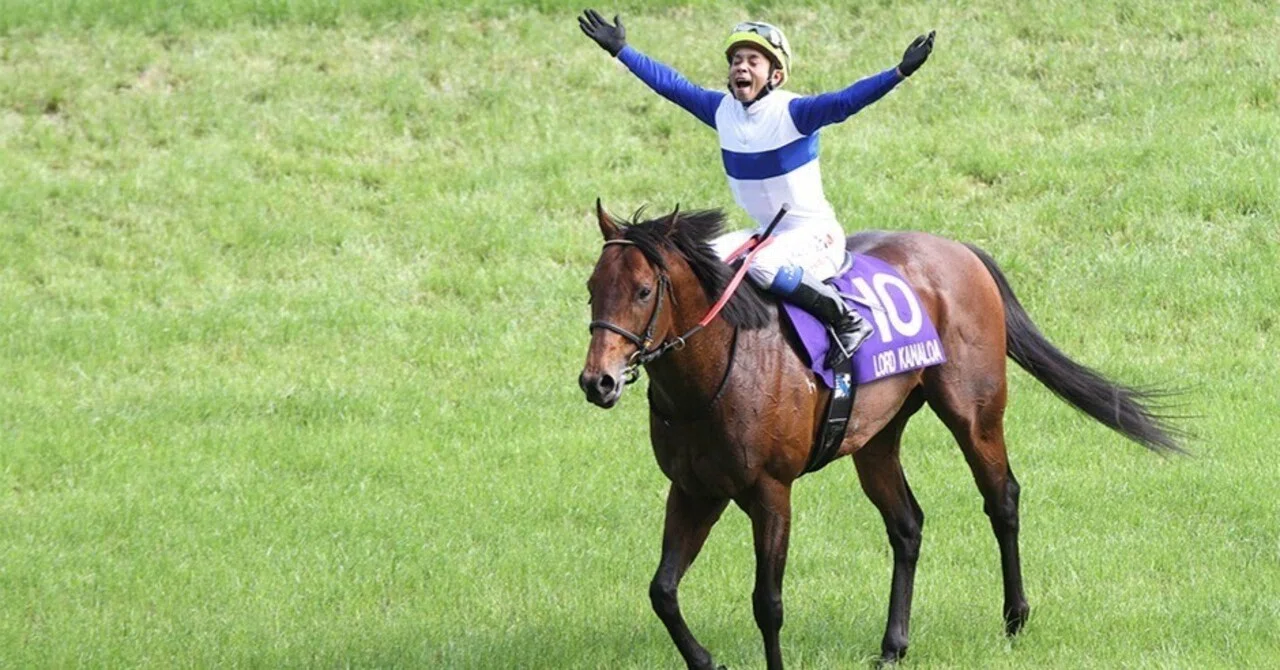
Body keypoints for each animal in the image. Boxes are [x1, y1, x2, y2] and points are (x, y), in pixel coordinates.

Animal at [577, 201, 1184, 668]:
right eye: (591, 288)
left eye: (642, 291)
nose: (597, 381)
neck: (718, 368)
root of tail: (960, 249)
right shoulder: (695, 489)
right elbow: (662, 591)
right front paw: (705, 660)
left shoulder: (770, 491)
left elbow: (767, 602)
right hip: (875, 437)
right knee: (907, 524)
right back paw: (894, 645)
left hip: (973, 411)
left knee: (1002, 499)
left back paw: (1015, 617)